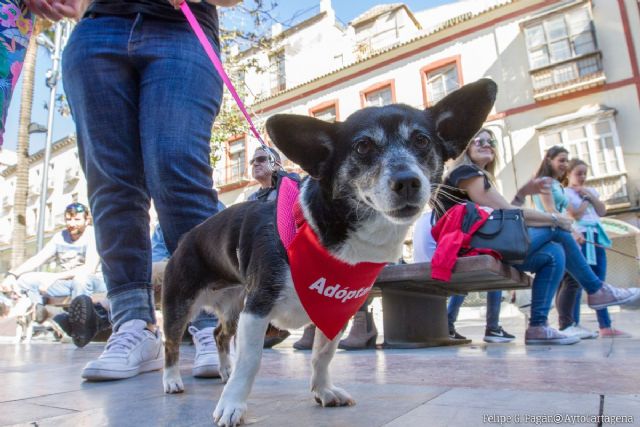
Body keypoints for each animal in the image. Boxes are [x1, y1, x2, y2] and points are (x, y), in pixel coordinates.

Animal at [162, 78, 498, 426]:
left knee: (219, 334)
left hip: (232, 307)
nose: (407, 181)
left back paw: (224, 369)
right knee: (171, 343)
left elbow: (323, 354)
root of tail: (189, 236)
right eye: (362, 146)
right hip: (181, 304)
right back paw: (173, 380)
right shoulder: (256, 309)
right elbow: (251, 361)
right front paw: (233, 405)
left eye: (421, 140)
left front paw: (323, 390)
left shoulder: (336, 310)